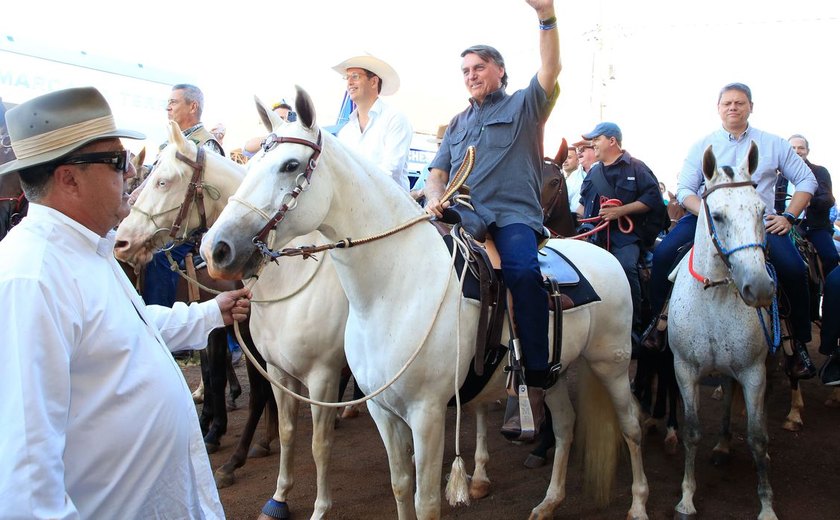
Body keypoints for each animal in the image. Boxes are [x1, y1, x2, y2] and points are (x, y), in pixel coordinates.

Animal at [113, 120, 350, 516]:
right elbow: (227, 380)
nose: (122, 242)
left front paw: (230, 451)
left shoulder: (315, 369)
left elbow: (242, 387)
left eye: (162, 181)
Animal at [200, 87, 648, 516]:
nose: (216, 249)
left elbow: (425, 500)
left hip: (611, 363)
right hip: (552, 371)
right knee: (566, 426)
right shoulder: (382, 410)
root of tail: (599, 252)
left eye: (290, 165)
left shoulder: (424, 413)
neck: (394, 290)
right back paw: (549, 502)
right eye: (252, 162)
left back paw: (639, 505)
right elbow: (401, 486)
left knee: (631, 426)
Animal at [668, 142, 776, 520]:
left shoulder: (754, 372)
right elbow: (691, 431)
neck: (713, 295)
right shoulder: (684, 369)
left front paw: (767, 505)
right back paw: (723, 445)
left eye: (762, 211)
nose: (760, 288)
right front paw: (686, 498)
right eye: (718, 216)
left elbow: (757, 437)